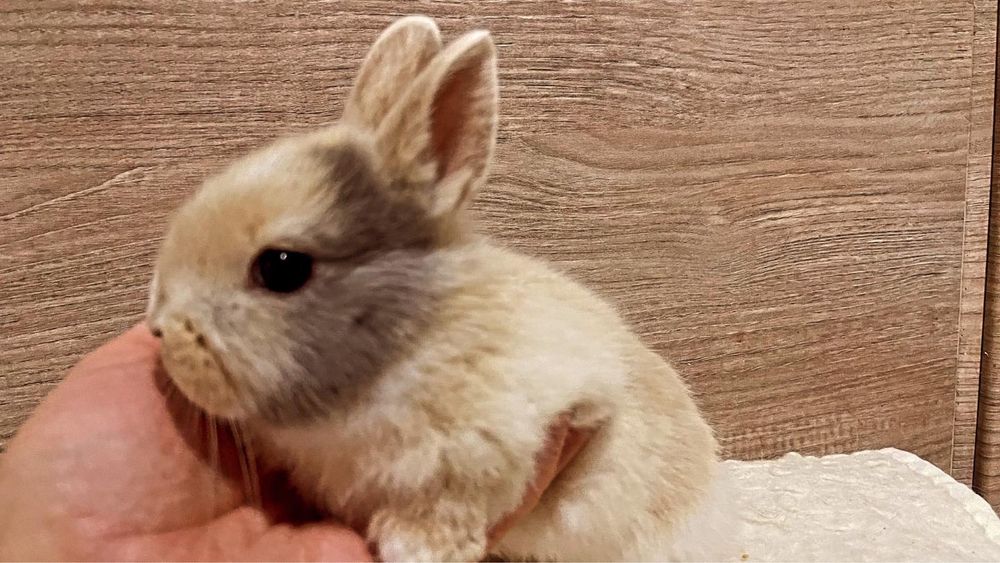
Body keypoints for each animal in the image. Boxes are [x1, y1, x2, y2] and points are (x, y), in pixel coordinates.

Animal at [146, 16, 737, 562]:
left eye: (282, 268)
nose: (159, 329)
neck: (406, 352)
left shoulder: (528, 433)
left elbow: (459, 500)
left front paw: (414, 545)